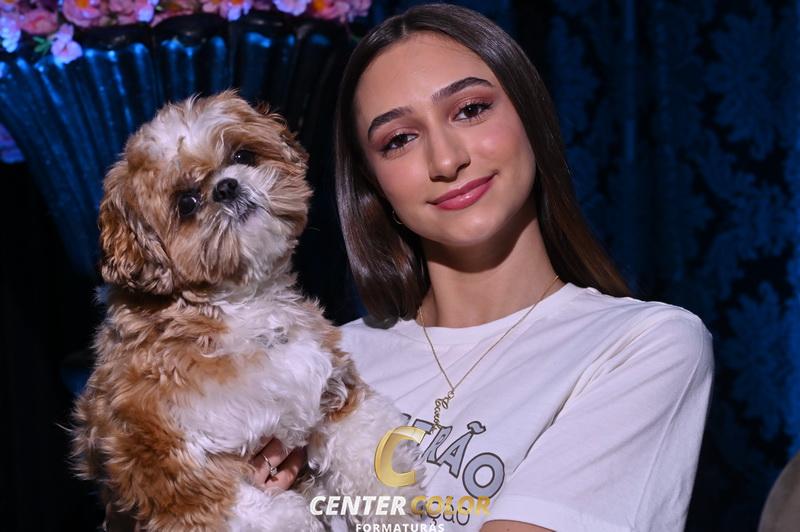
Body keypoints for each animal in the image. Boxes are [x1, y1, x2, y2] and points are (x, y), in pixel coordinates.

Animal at [70, 91, 423, 531]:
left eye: (243, 155)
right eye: (186, 203)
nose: (226, 187)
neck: (241, 308)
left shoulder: (329, 390)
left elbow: (365, 448)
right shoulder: (169, 468)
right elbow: (253, 512)